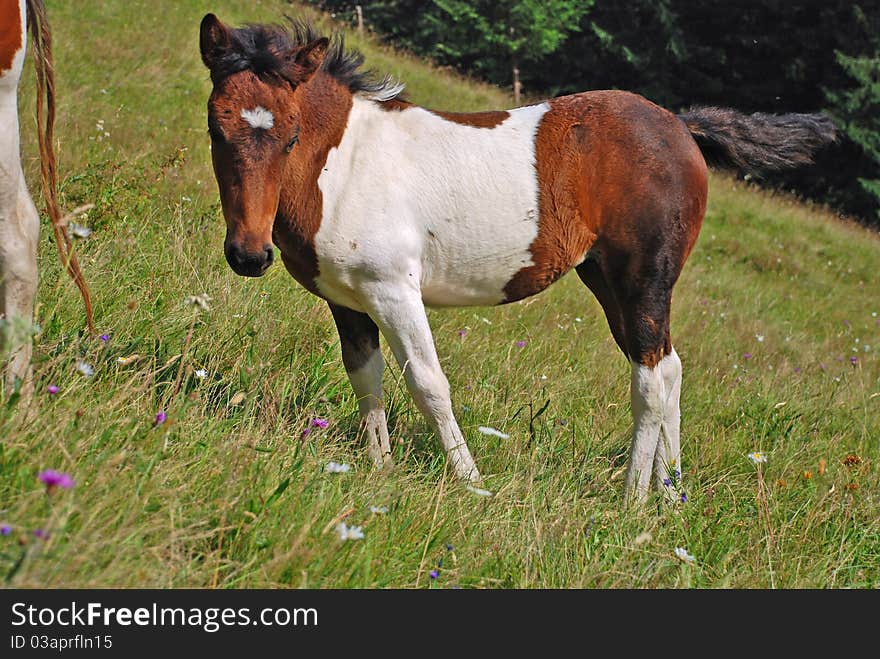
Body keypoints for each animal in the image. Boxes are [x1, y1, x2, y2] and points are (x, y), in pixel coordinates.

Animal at [198, 15, 832, 502]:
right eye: (215, 129)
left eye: (291, 137)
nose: (249, 255)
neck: (345, 164)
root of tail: (681, 125)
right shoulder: (347, 298)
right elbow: (367, 378)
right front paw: (377, 468)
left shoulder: (393, 289)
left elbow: (428, 381)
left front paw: (469, 481)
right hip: (607, 280)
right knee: (668, 365)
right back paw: (669, 496)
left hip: (643, 276)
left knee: (651, 378)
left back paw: (631, 503)